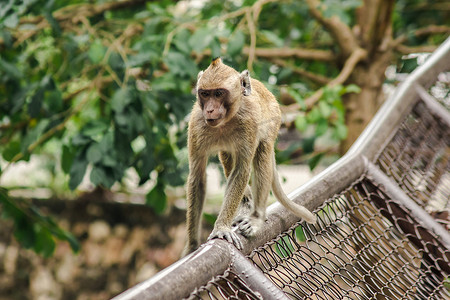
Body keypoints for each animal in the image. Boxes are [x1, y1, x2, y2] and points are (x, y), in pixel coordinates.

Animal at [183, 56, 316, 255]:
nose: (210, 110)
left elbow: (243, 170)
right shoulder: (197, 124)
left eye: (219, 93)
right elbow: (197, 177)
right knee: (227, 156)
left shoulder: (249, 124)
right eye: (205, 94)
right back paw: (245, 204)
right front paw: (192, 246)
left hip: (274, 121)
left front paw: (221, 227)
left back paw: (256, 217)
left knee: (262, 156)